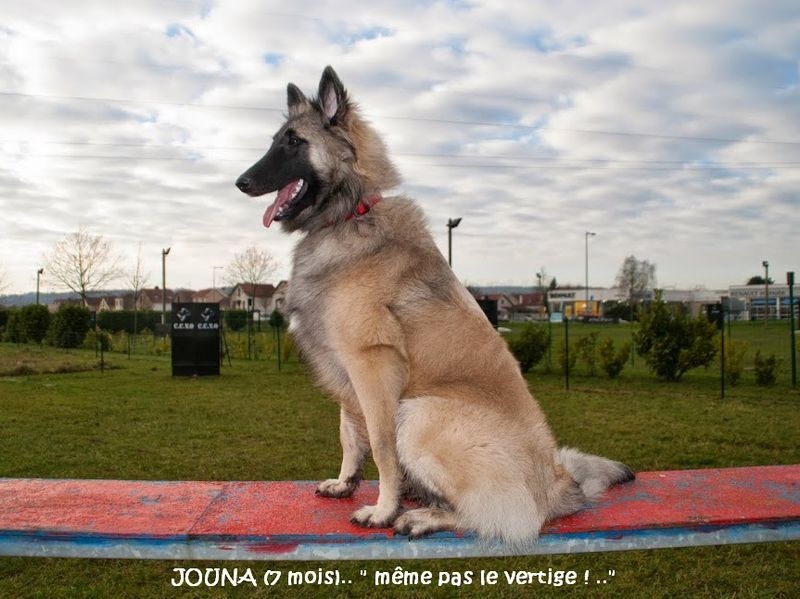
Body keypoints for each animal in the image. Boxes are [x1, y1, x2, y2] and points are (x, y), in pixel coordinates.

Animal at [235, 66, 634, 543]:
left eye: (294, 142)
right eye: (277, 140)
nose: (241, 182)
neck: (351, 215)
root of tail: (559, 485)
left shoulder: (373, 368)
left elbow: (381, 448)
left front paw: (382, 509)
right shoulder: (348, 372)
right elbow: (349, 433)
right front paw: (346, 482)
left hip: (419, 411)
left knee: (498, 517)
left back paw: (422, 515)